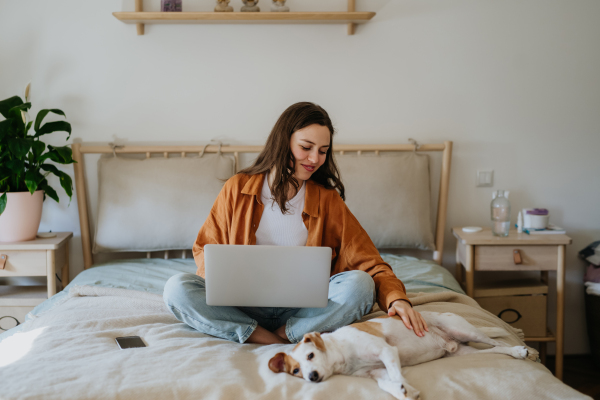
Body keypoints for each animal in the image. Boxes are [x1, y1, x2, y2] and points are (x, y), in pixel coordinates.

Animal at [270, 312, 536, 400]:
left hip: (466, 330)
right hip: (463, 352)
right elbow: (386, 383)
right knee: (494, 349)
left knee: (498, 341)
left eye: (311, 356)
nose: (312, 377)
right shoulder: (375, 373)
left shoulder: (387, 352)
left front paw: (402, 385)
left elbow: (395, 372)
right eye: (296, 371)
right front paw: (403, 391)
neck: (342, 352)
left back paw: (521, 351)